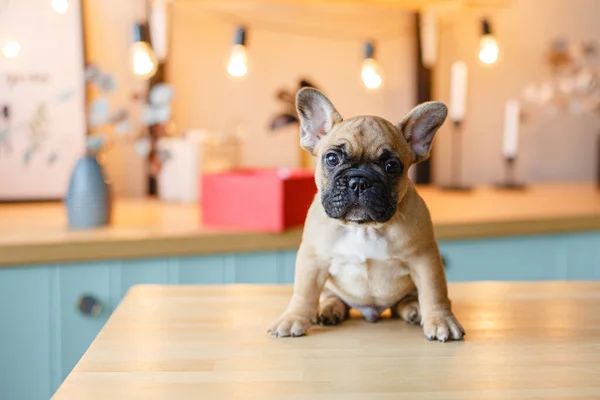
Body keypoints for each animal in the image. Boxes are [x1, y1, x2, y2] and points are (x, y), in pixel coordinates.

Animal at [270, 86, 466, 340]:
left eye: (391, 166)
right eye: (332, 159)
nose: (359, 181)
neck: (362, 227)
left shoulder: (425, 259)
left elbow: (435, 292)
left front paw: (441, 320)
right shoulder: (312, 259)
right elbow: (303, 292)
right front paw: (293, 318)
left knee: (408, 299)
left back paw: (413, 309)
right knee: (331, 296)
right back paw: (329, 309)